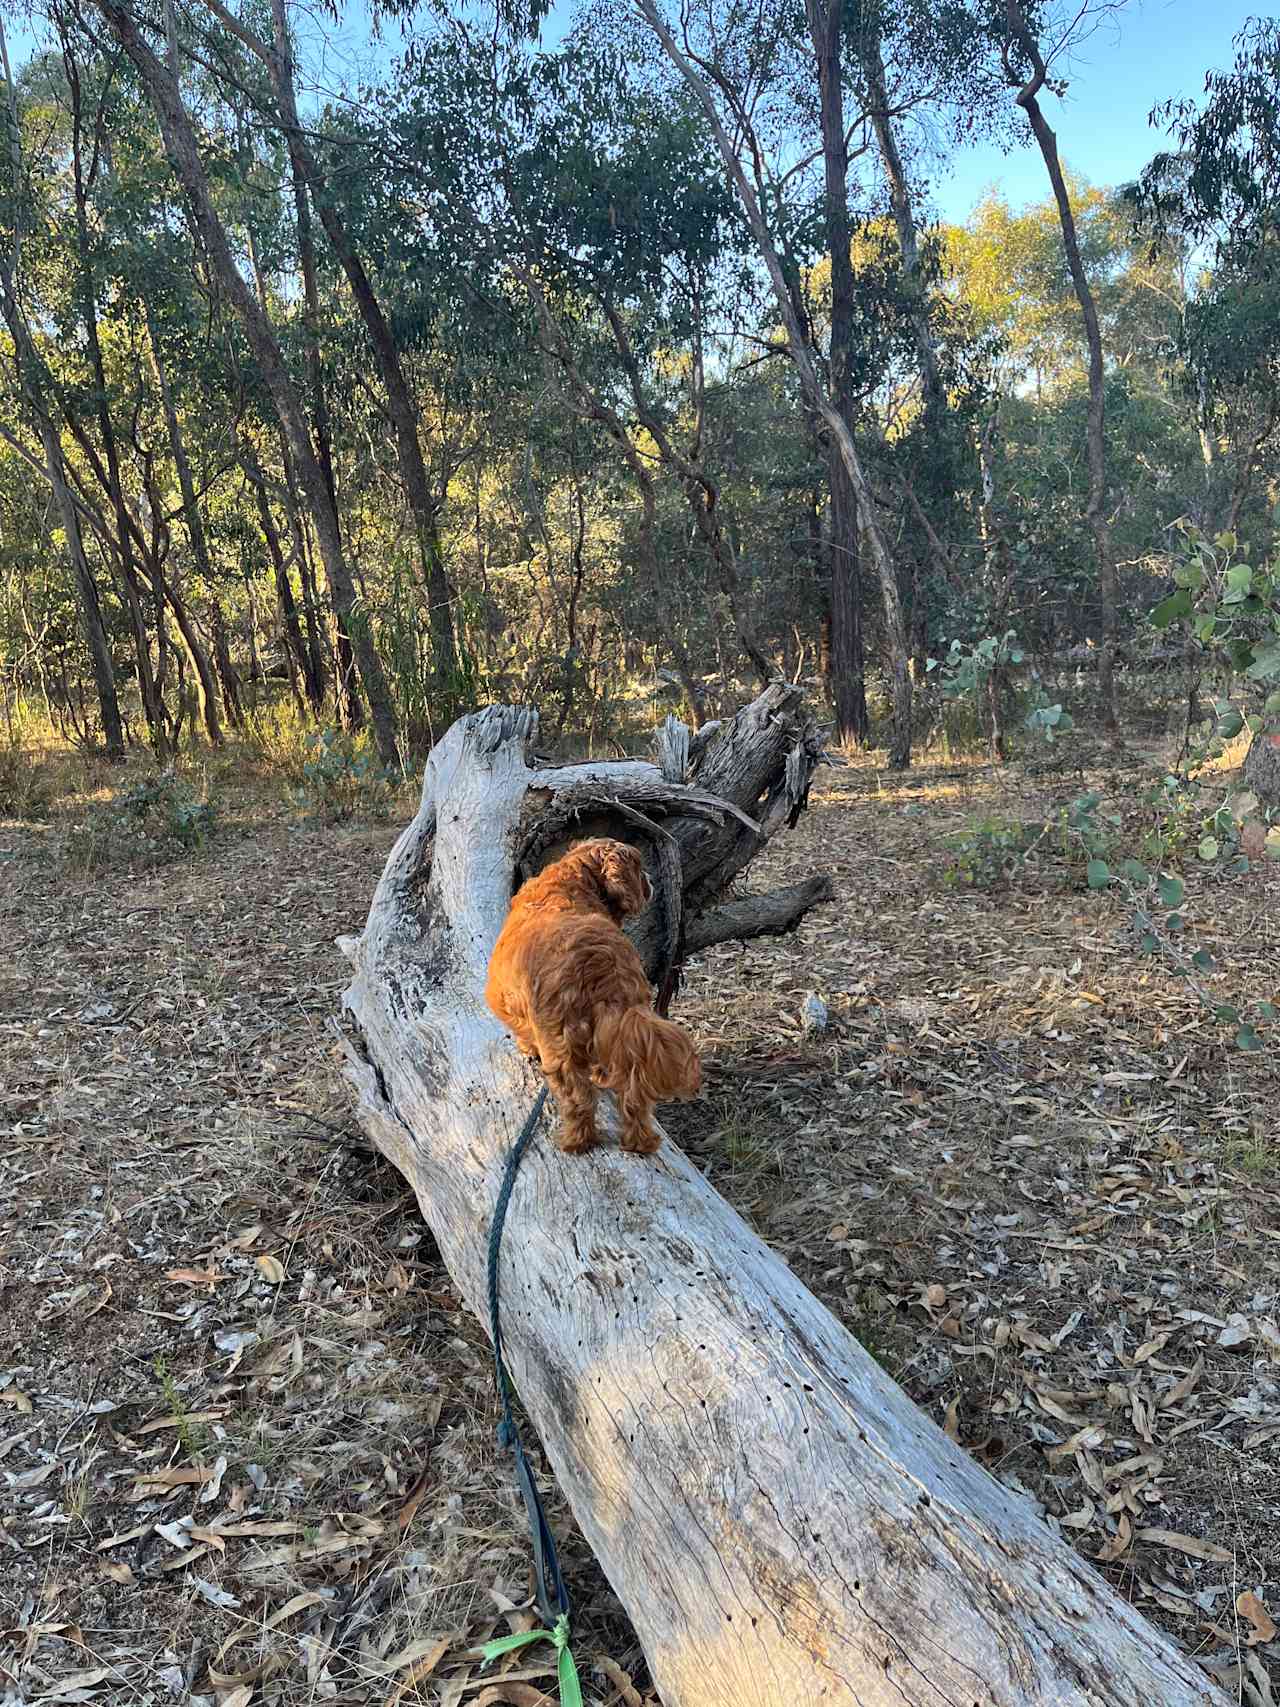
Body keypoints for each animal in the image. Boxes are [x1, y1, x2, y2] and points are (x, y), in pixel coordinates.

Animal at [484, 836, 703, 1153]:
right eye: (639, 867)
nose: (650, 880)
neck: (570, 883)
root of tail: (602, 967)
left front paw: (526, 1048)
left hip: (559, 1045)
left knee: (577, 1100)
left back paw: (575, 1141)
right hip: (627, 1024)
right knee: (633, 1095)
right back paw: (640, 1141)